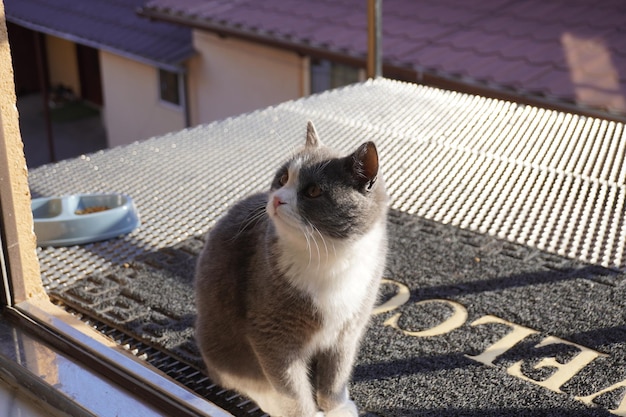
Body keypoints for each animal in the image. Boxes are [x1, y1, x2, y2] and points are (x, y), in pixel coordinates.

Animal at [194, 121, 386, 416]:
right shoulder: (271, 333)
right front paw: (308, 412)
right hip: (218, 338)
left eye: (313, 191)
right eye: (283, 178)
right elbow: (291, 389)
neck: (329, 257)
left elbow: (336, 375)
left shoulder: (348, 327)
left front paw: (338, 408)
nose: (277, 199)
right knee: (241, 377)